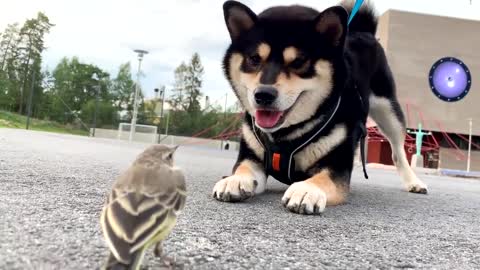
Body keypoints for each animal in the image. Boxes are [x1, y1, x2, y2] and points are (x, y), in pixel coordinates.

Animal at [212, 0, 430, 215]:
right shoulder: (252, 156)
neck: (285, 133)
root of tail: (363, 31)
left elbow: (323, 177)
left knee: (397, 151)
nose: (264, 94)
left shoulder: (336, 165)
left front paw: (307, 189)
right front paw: (234, 179)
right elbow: (243, 168)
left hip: (388, 110)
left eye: (299, 61)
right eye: (254, 59)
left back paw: (414, 182)